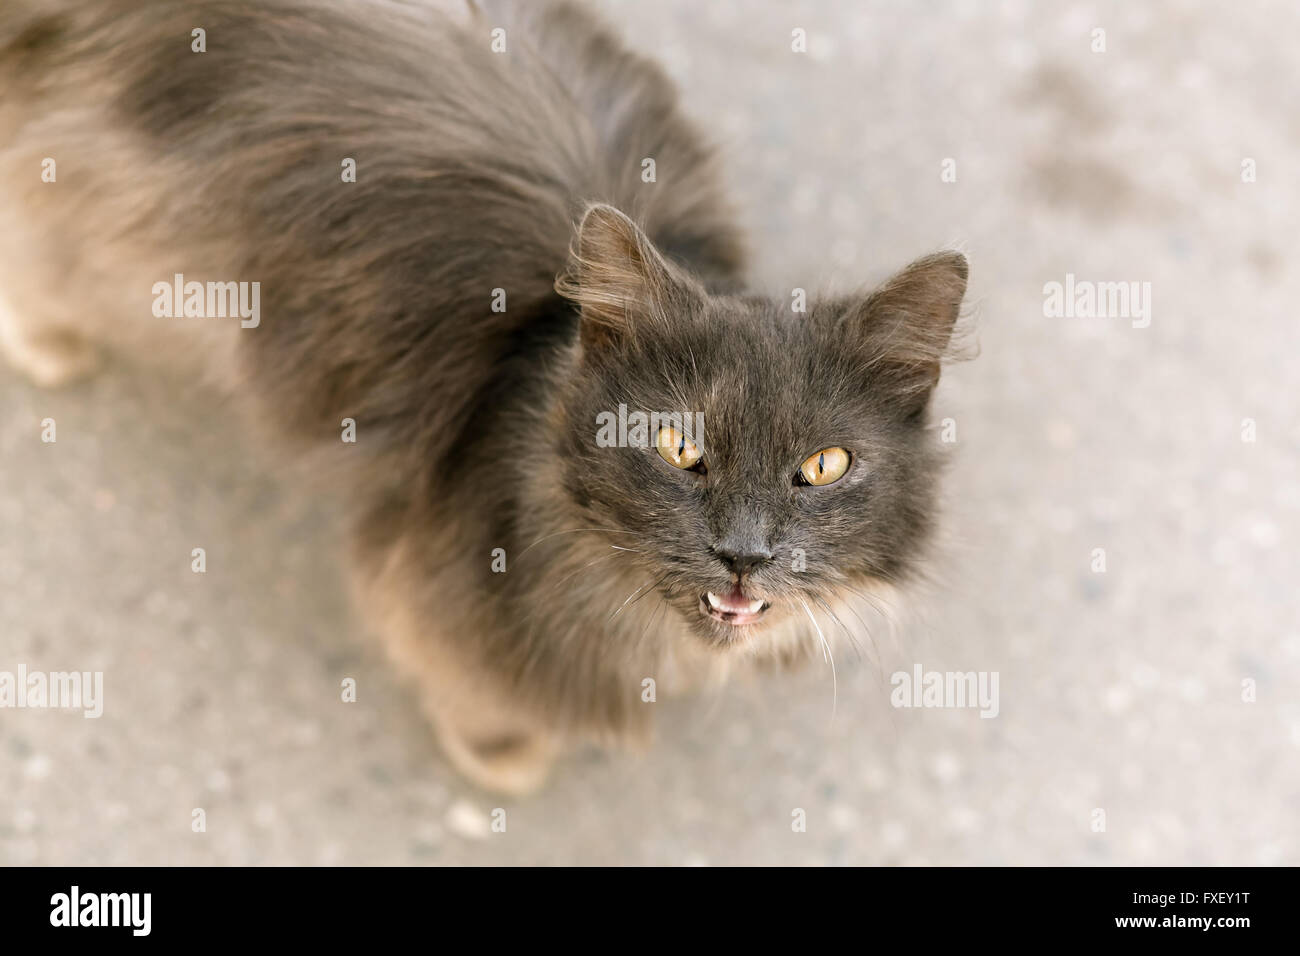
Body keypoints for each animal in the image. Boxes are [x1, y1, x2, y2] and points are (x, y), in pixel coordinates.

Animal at [0, 0, 967, 790]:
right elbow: (476, 693)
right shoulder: (436, 584)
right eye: (679, 448)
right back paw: (47, 339)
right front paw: (503, 756)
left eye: (825, 466)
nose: (745, 553)